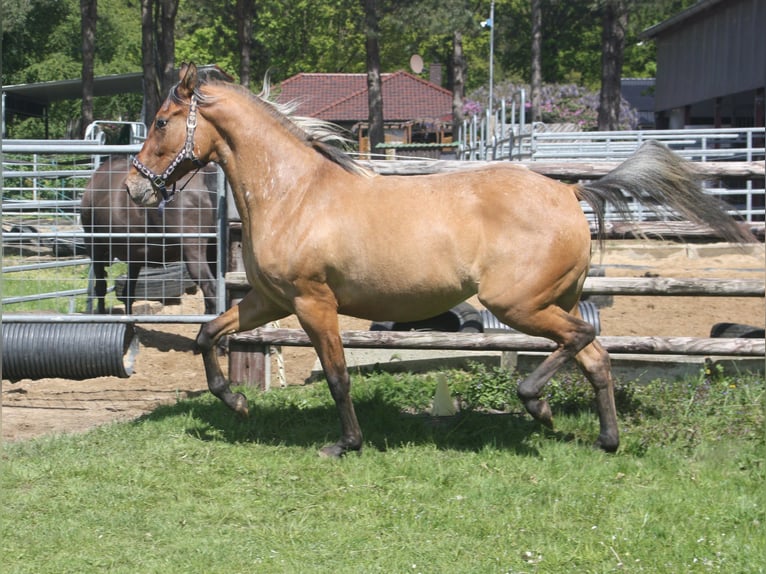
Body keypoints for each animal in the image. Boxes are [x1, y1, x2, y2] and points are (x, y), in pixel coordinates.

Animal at [81, 155, 219, 315]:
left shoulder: (94, 245)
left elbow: (101, 288)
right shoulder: (135, 255)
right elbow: (128, 292)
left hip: (193, 251)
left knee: (211, 291)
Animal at [125, 63, 755, 457]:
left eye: (160, 122)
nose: (134, 189)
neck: (295, 192)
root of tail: (568, 192)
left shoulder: (312, 302)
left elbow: (337, 376)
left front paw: (344, 444)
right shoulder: (270, 299)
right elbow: (208, 333)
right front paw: (235, 403)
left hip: (517, 303)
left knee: (580, 340)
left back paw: (537, 405)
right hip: (554, 299)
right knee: (596, 357)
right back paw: (603, 439)